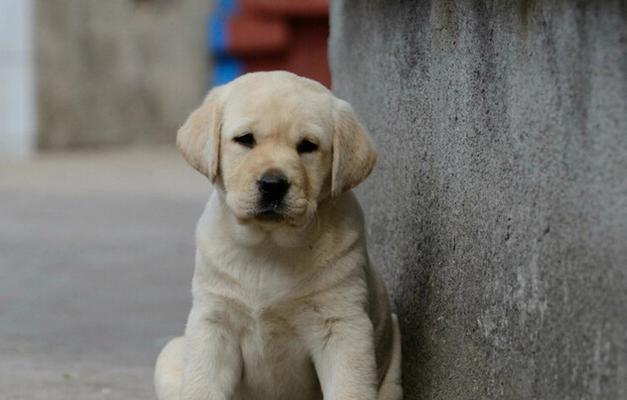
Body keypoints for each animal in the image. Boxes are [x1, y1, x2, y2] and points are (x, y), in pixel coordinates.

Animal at [156, 72, 402, 400]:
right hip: (171, 354)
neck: (269, 244)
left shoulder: (342, 325)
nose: (273, 184)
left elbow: (349, 388)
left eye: (308, 145)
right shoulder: (213, 322)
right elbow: (202, 385)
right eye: (245, 139)